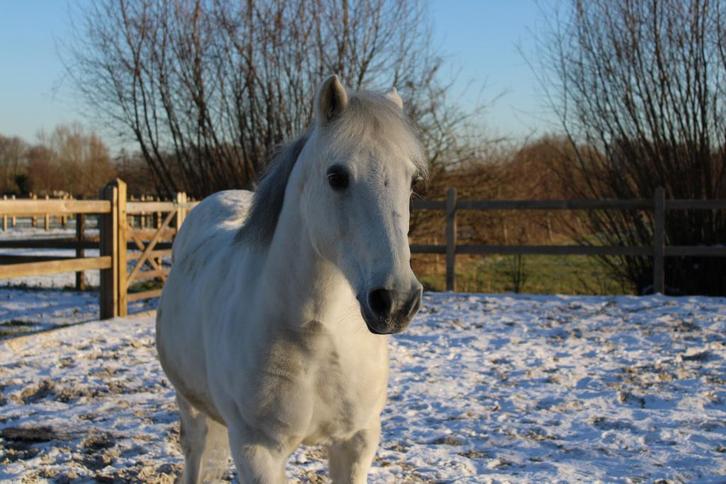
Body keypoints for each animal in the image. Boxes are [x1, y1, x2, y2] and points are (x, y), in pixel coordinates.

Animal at [156, 75, 426, 483]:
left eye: (410, 181)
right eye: (337, 177)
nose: (395, 302)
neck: (319, 336)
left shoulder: (357, 441)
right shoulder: (257, 451)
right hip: (190, 406)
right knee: (195, 454)